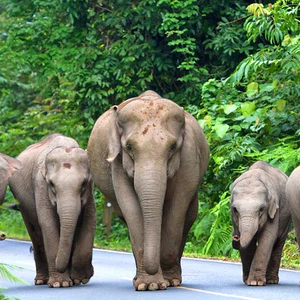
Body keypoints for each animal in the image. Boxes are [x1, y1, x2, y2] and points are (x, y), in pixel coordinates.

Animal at [8, 134, 96, 288]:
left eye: (84, 183)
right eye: (52, 184)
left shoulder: (90, 192)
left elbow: (89, 220)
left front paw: (81, 279)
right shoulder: (40, 185)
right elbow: (48, 224)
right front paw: (60, 283)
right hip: (24, 206)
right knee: (36, 234)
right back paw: (41, 280)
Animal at [86, 89, 209, 290]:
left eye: (173, 147)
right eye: (129, 147)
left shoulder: (189, 157)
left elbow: (177, 207)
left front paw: (168, 281)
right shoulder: (118, 164)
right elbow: (131, 208)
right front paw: (149, 285)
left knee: (188, 217)